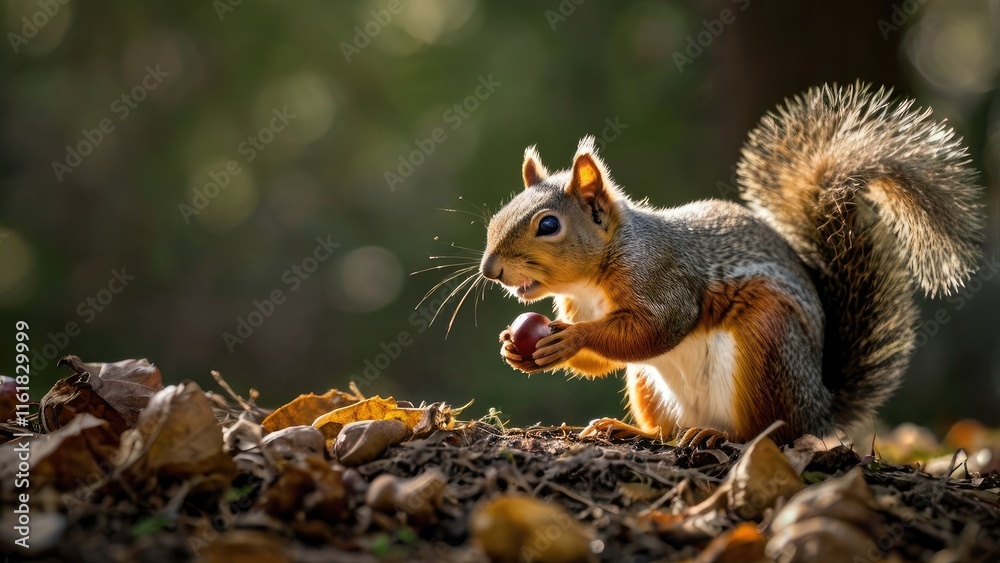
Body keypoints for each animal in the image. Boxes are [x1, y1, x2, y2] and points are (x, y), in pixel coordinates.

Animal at [480, 83, 983, 446]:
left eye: (549, 224)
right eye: (497, 215)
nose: (490, 269)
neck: (593, 280)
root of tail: (819, 408)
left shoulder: (664, 277)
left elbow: (656, 328)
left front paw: (571, 339)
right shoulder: (578, 305)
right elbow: (603, 360)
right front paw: (513, 346)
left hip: (767, 343)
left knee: (769, 432)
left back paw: (717, 435)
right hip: (651, 383)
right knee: (665, 431)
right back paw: (626, 429)